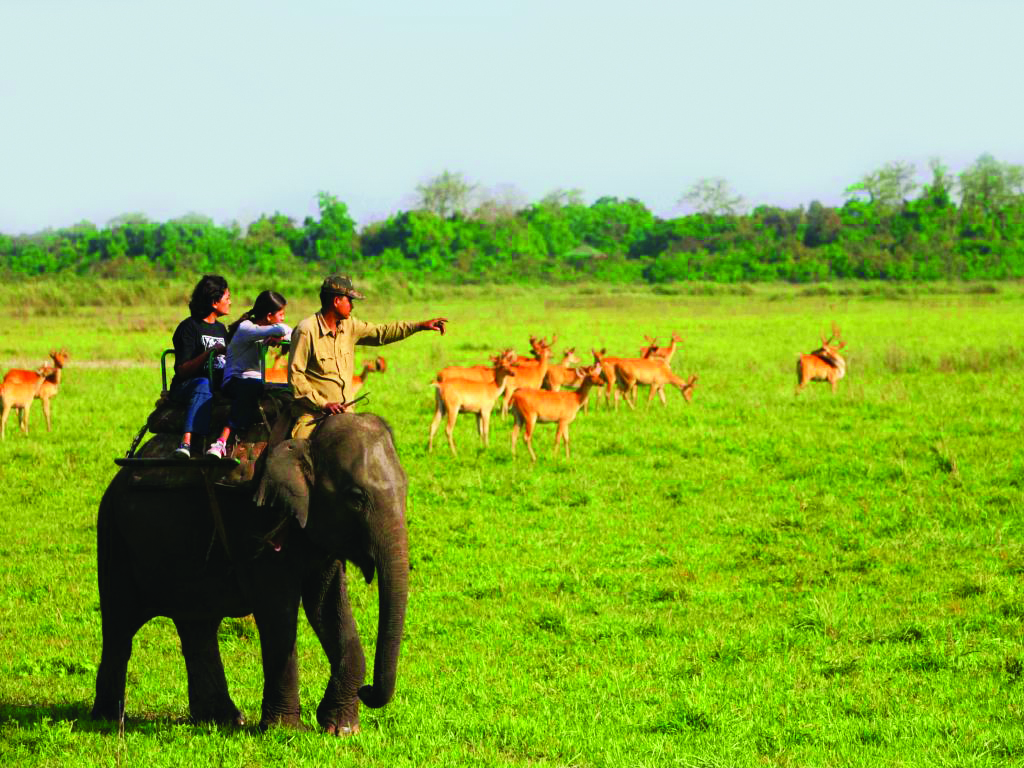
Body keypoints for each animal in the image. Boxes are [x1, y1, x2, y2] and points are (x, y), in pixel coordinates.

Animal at [90, 412, 409, 735]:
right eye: (356, 497)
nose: (367, 691)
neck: (307, 437)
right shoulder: (255, 522)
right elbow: (278, 610)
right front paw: (285, 729)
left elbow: (328, 609)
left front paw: (341, 729)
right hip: (114, 536)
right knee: (120, 625)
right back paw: (108, 719)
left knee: (197, 626)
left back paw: (221, 719)